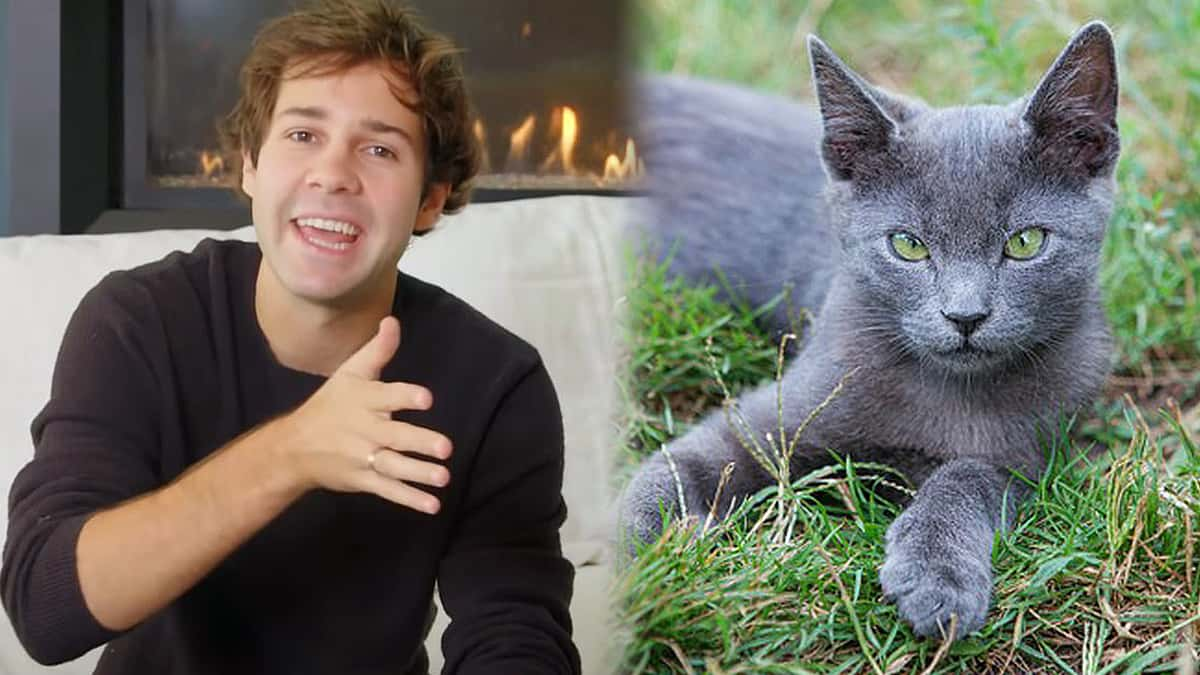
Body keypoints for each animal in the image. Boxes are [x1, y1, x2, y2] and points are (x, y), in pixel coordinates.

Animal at [624, 22, 1118, 634]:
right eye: (908, 245)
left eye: (1025, 242)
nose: (965, 316)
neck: (946, 393)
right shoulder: (773, 413)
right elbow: (681, 463)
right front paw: (629, 553)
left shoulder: (1031, 455)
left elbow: (968, 478)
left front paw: (937, 576)